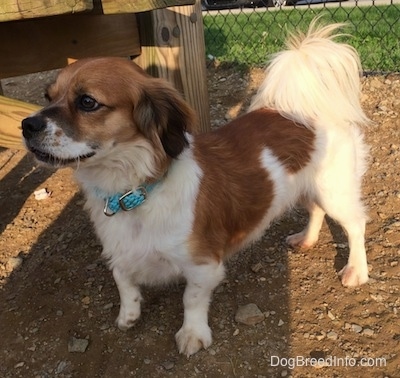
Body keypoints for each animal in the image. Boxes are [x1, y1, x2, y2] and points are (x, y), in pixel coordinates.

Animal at [21, 20, 370, 356]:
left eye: (87, 102)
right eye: (48, 97)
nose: (27, 125)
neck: (134, 191)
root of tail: (306, 111)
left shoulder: (203, 265)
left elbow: (191, 299)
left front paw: (192, 335)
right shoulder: (120, 250)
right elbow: (122, 279)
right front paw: (129, 314)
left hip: (335, 192)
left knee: (355, 226)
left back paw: (356, 270)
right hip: (307, 189)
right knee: (316, 211)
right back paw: (306, 239)